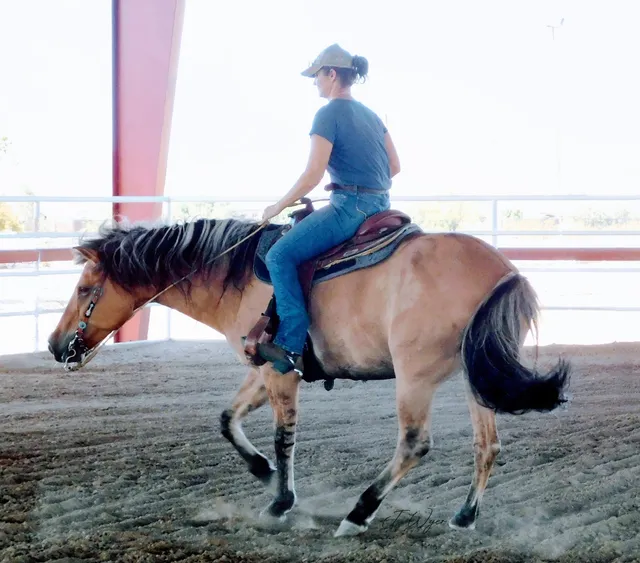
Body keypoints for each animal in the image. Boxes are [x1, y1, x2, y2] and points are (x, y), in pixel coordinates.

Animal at [47, 213, 571, 537]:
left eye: (85, 288)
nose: (55, 346)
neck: (240, 275)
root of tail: (501, 271)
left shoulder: (282, 373)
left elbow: (285, 437)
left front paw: (280, 502)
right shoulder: (266, 366)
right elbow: (227, 418)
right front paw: (263, 472)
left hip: (415, 375)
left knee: (415, 443)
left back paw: (358, 514)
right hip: (475, 376)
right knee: (487, 445)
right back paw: (463, 518)